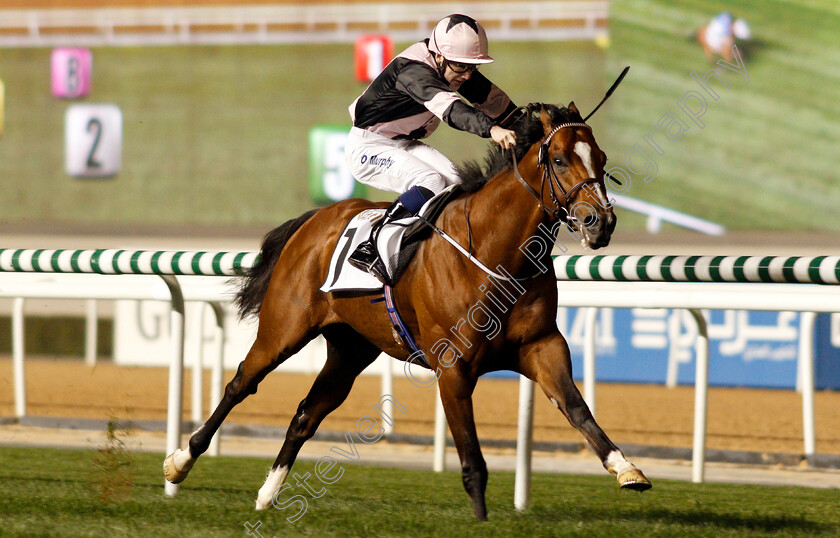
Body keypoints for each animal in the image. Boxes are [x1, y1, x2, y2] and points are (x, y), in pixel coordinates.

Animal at [162, 101, 648, 520]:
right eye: (561, 160)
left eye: (601, 157)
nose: (601, 223)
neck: (497, 252)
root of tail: (315, 219)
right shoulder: (453, 365)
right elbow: (472, 457)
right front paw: (481, 520)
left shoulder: (542, 346)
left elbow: (577, 408)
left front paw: (627, 469)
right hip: (284, 329)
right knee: (241, 384)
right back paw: (180, 462)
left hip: (350, 348)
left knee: (306, 414)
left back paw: (267, 494)